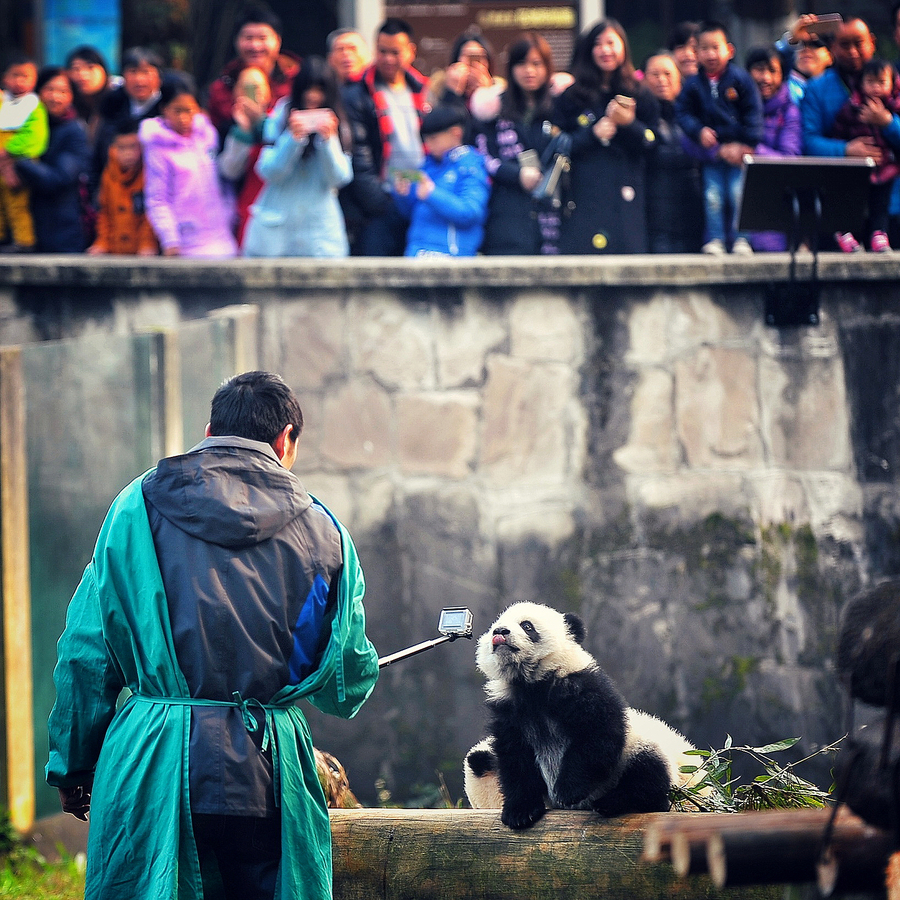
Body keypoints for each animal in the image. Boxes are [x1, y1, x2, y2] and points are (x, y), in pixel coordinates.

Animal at [464, 601, 700, 829]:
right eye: (495, 625)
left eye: (527, 626)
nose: (500, 631)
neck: (530, 682)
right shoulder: (510, 711)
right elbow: (516, 759)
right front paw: (520, 812)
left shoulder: (579, 686)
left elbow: (599, 735)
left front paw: (568, 790)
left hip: (643, 753)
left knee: (649, 772)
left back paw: (617, 801)